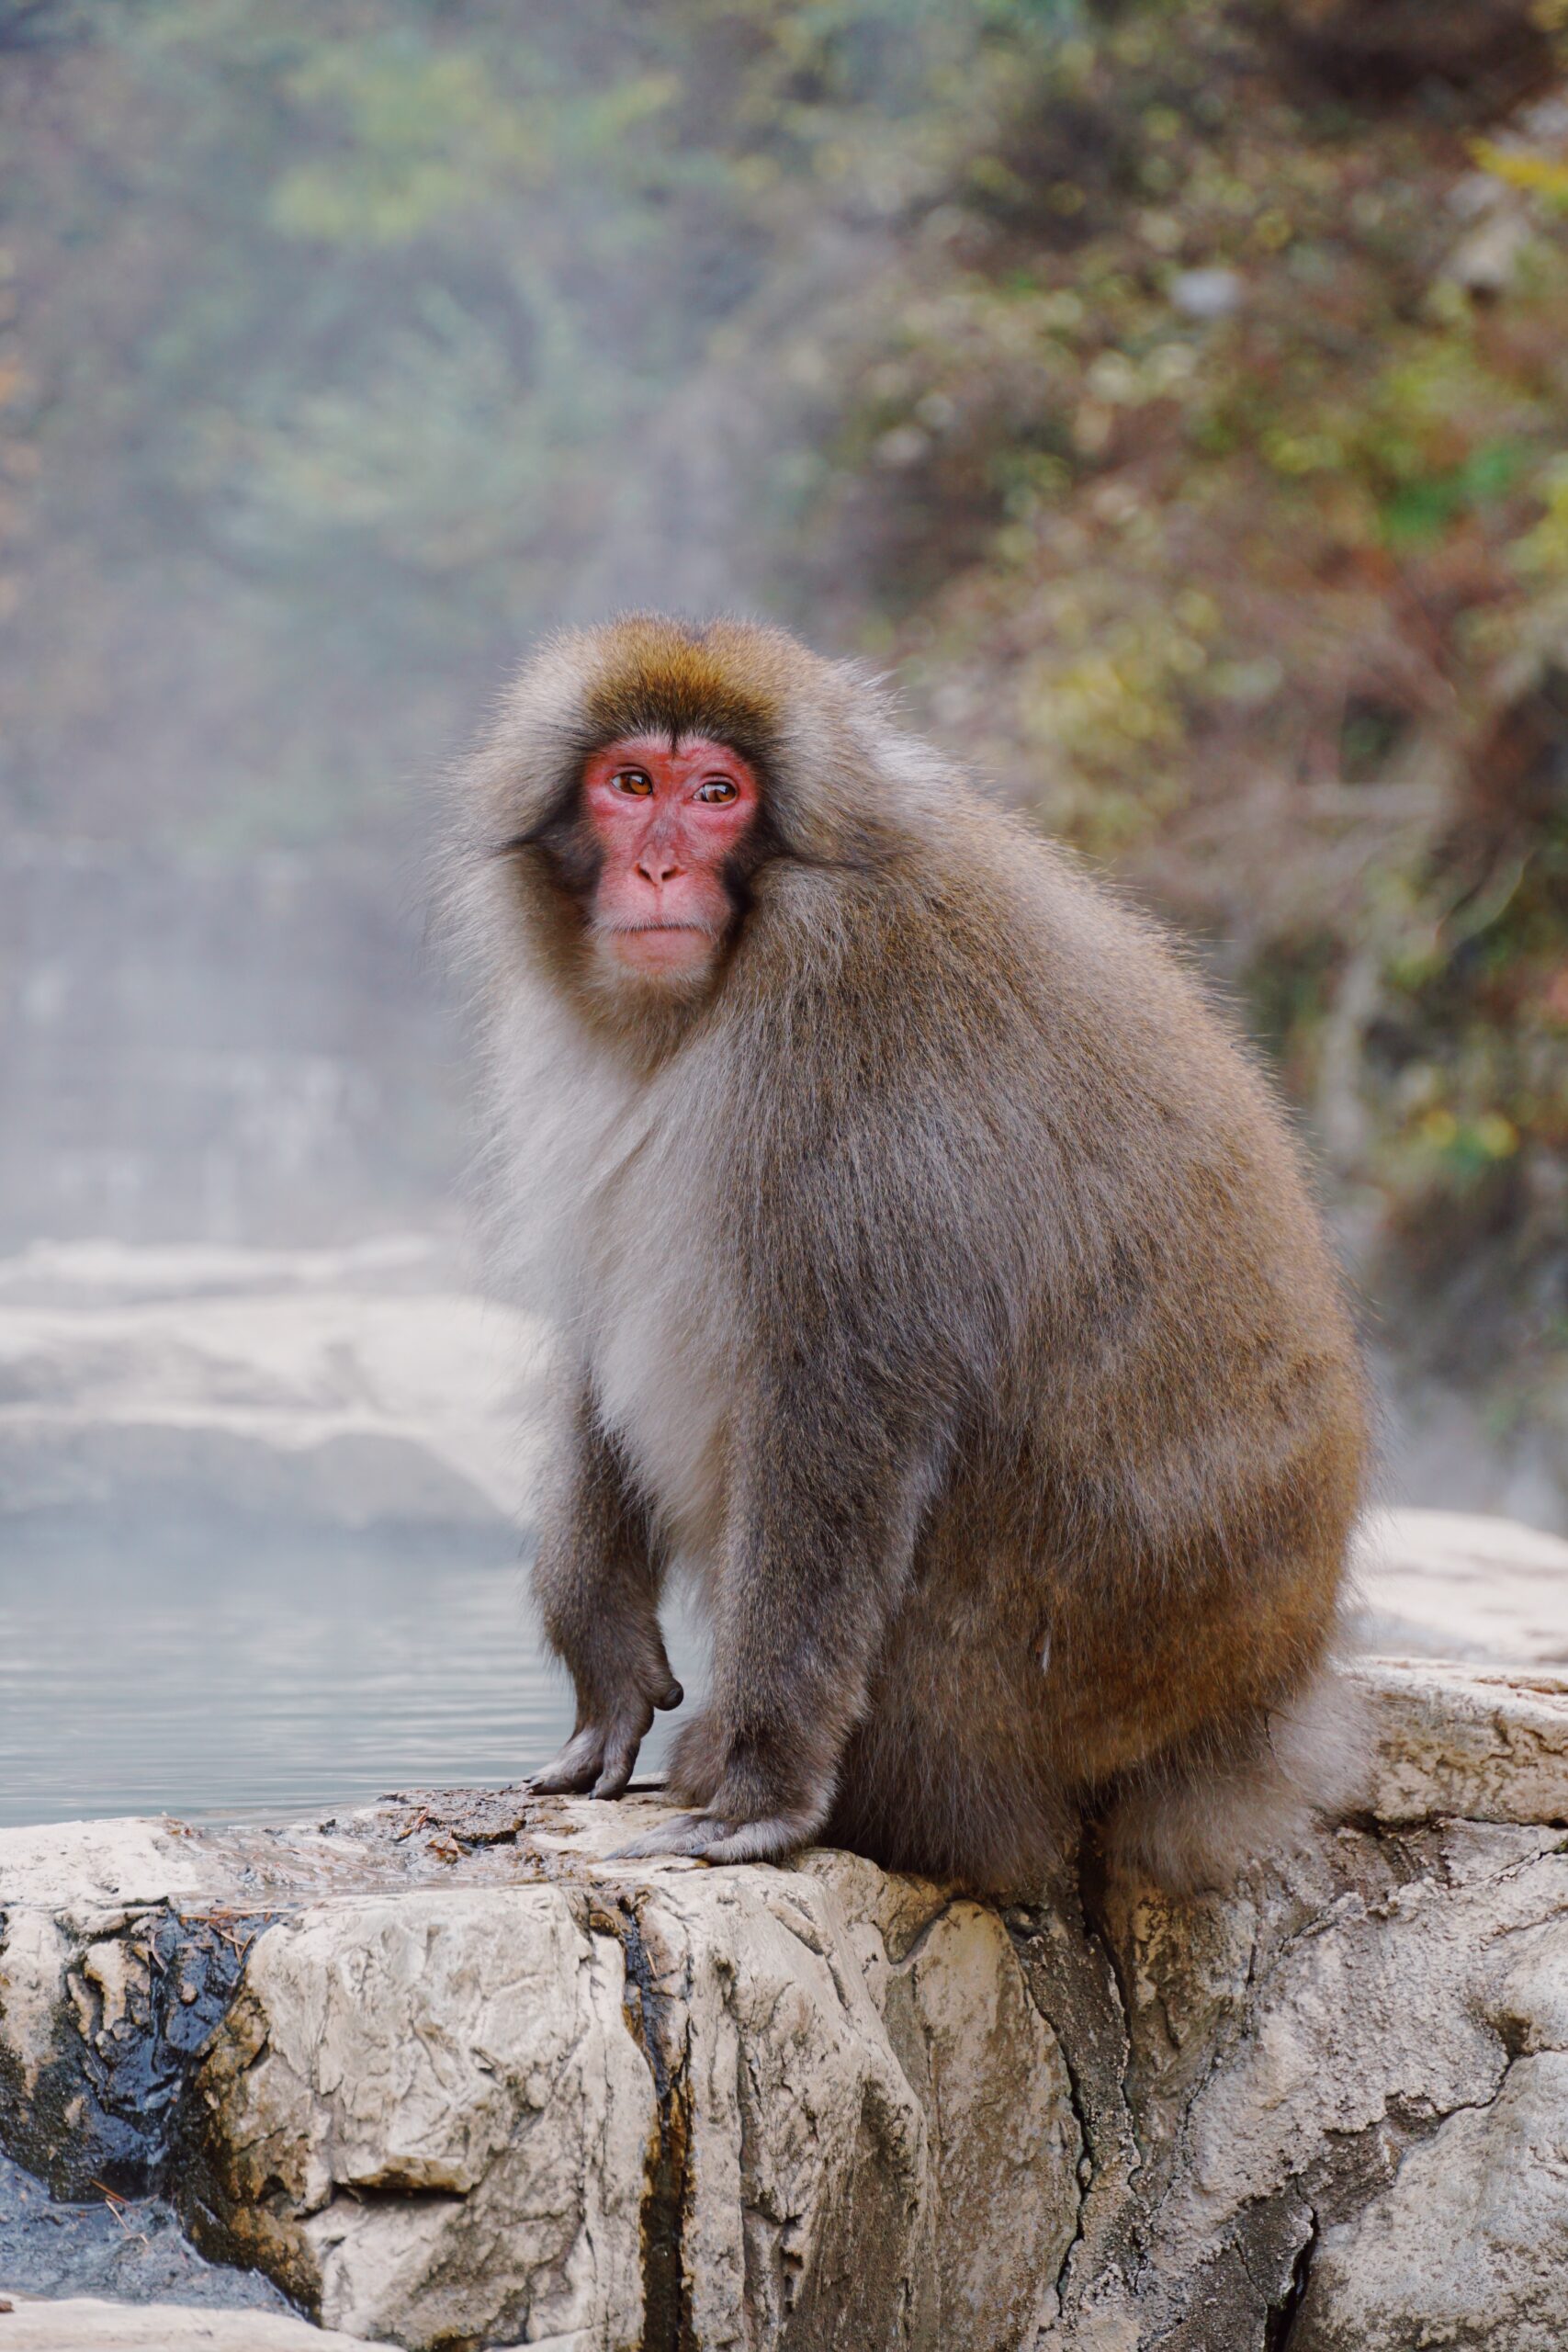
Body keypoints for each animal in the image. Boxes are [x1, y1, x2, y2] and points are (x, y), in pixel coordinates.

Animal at [444, 613, 1371, 1897]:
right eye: (631, 785)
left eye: (718, 793)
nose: (662, 869)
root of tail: (1252, 1717)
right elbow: (599, 1314)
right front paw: (604, 1655)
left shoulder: (842, 1044)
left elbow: (845, 1394)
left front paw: (764, 1787)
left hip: (1039, 1673)